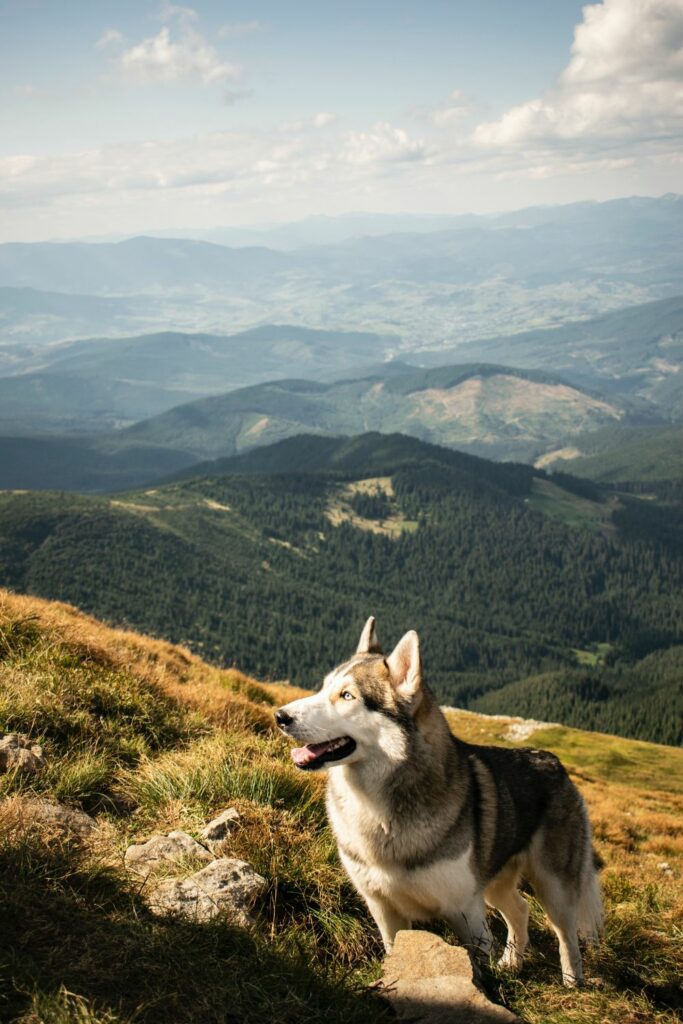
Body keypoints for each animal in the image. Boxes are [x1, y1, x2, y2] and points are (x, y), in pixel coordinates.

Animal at [278, 614, 602, 983]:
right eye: (322, 688)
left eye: (347, 696)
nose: (280, 716)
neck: (379, 810)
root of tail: (556, 763)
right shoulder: (383, 909)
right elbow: (393, 952)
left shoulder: (466, 914)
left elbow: (477, 969)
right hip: (494, 885)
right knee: (520, 910)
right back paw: (511, 964)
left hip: (553, 886)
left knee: (566, 934)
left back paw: (572, 981)